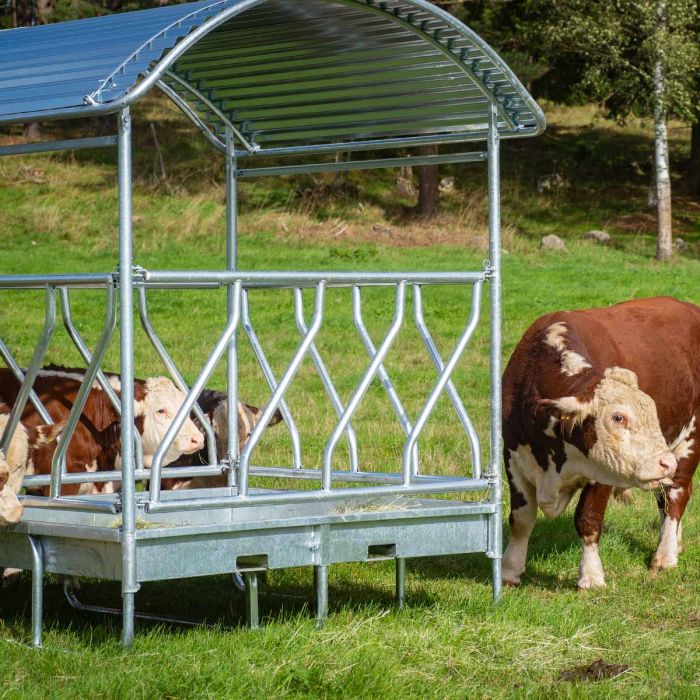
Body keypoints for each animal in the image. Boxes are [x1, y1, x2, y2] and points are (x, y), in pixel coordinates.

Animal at [504, 296, 700, 592]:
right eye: (618, 417)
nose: (665, 462)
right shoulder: (512, 458)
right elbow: (521, 519)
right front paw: (510, 570)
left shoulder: (604, 472)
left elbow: (588, 519)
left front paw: (591, 576)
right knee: (664, 499)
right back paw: (674, 542)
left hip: (690, 438)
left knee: (676, 494)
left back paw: (665, 555)